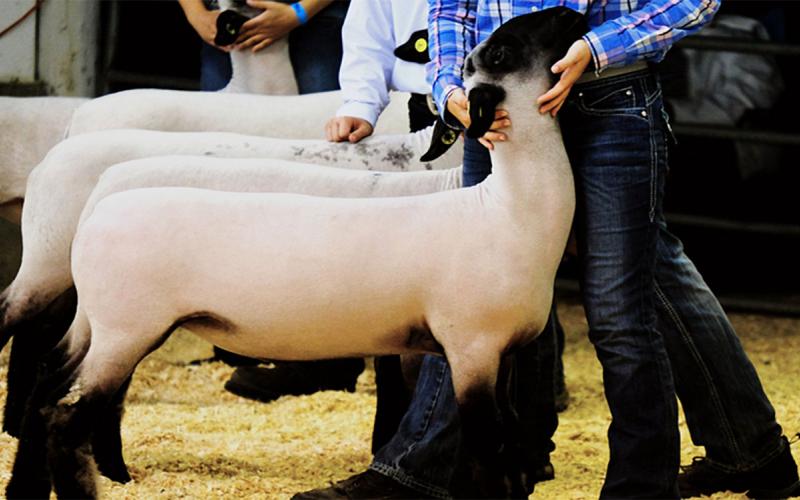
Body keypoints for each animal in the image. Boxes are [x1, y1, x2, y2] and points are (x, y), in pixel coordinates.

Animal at [7, 8, 585, 498]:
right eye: (503, 49)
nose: (569, 15)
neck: (505, 210)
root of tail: (97, 211)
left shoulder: (498, 353)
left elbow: (506, 449)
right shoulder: (470, 347)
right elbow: (485, 454)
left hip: (98, 324)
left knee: (48, 386)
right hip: (124, 327)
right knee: (64, 416)